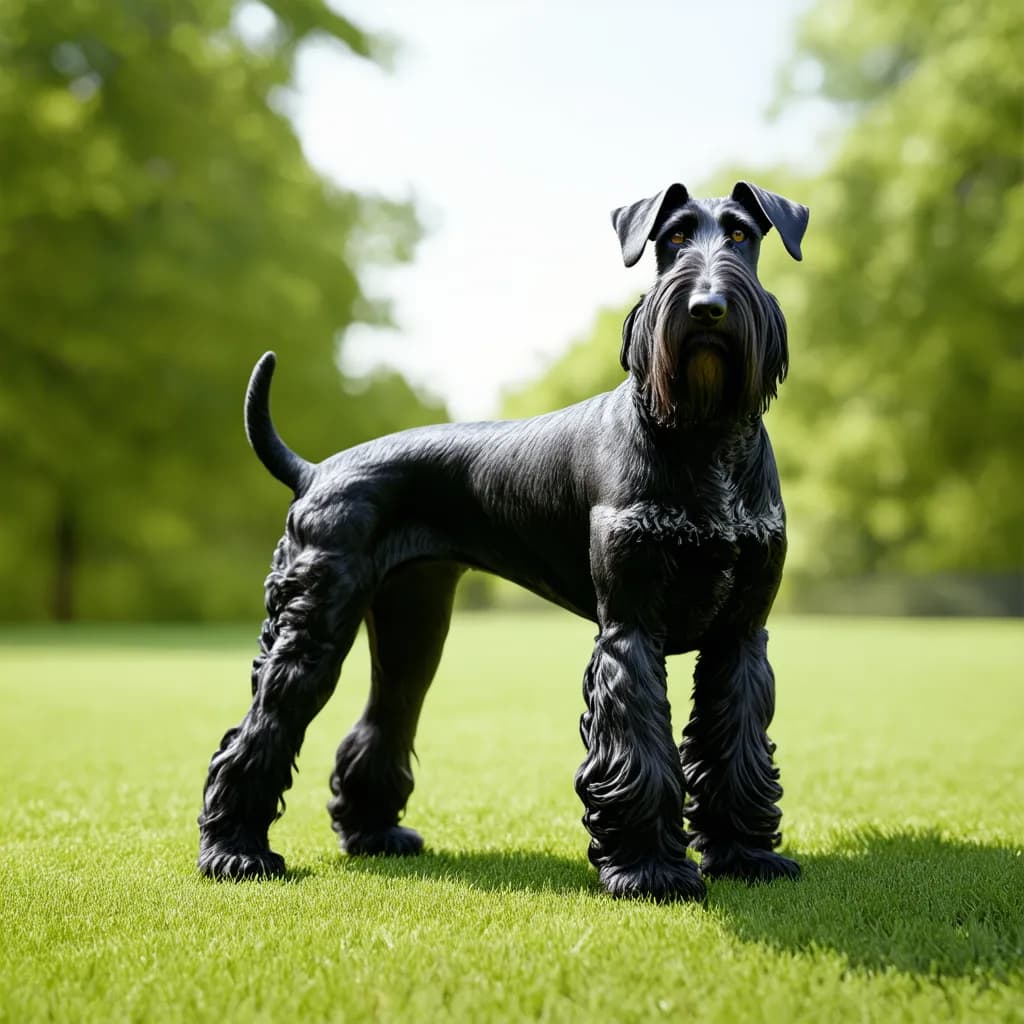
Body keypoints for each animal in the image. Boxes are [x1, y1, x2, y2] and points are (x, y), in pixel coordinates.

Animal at [197, 180, 806, 901]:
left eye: (742, 234)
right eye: (674, 238)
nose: (707, 306)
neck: (705, 433)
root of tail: (316, 470)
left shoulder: (740, 635)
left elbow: (736, 748)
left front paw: (744, 855)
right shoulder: (630, 629)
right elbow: (641, 751)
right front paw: (649, 869)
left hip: (411, 630)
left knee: (380, 721)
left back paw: (373, 834)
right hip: (311, 633)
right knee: (256, 734)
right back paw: (235, 852)